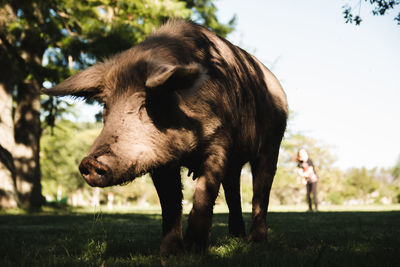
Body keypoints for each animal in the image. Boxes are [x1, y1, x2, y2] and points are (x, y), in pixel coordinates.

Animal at [43, 19, 288, 255]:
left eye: (148, 103)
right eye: (106, 107)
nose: (89, 162)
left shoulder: (219, 143)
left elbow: (204, 194)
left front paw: (194, 250)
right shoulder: (159, 157)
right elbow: (169, 203)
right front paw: (170, 253)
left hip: (272, 143)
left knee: (261, 191)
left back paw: (256, 240)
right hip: (236, 164)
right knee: (232, 191)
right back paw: (235, 237)